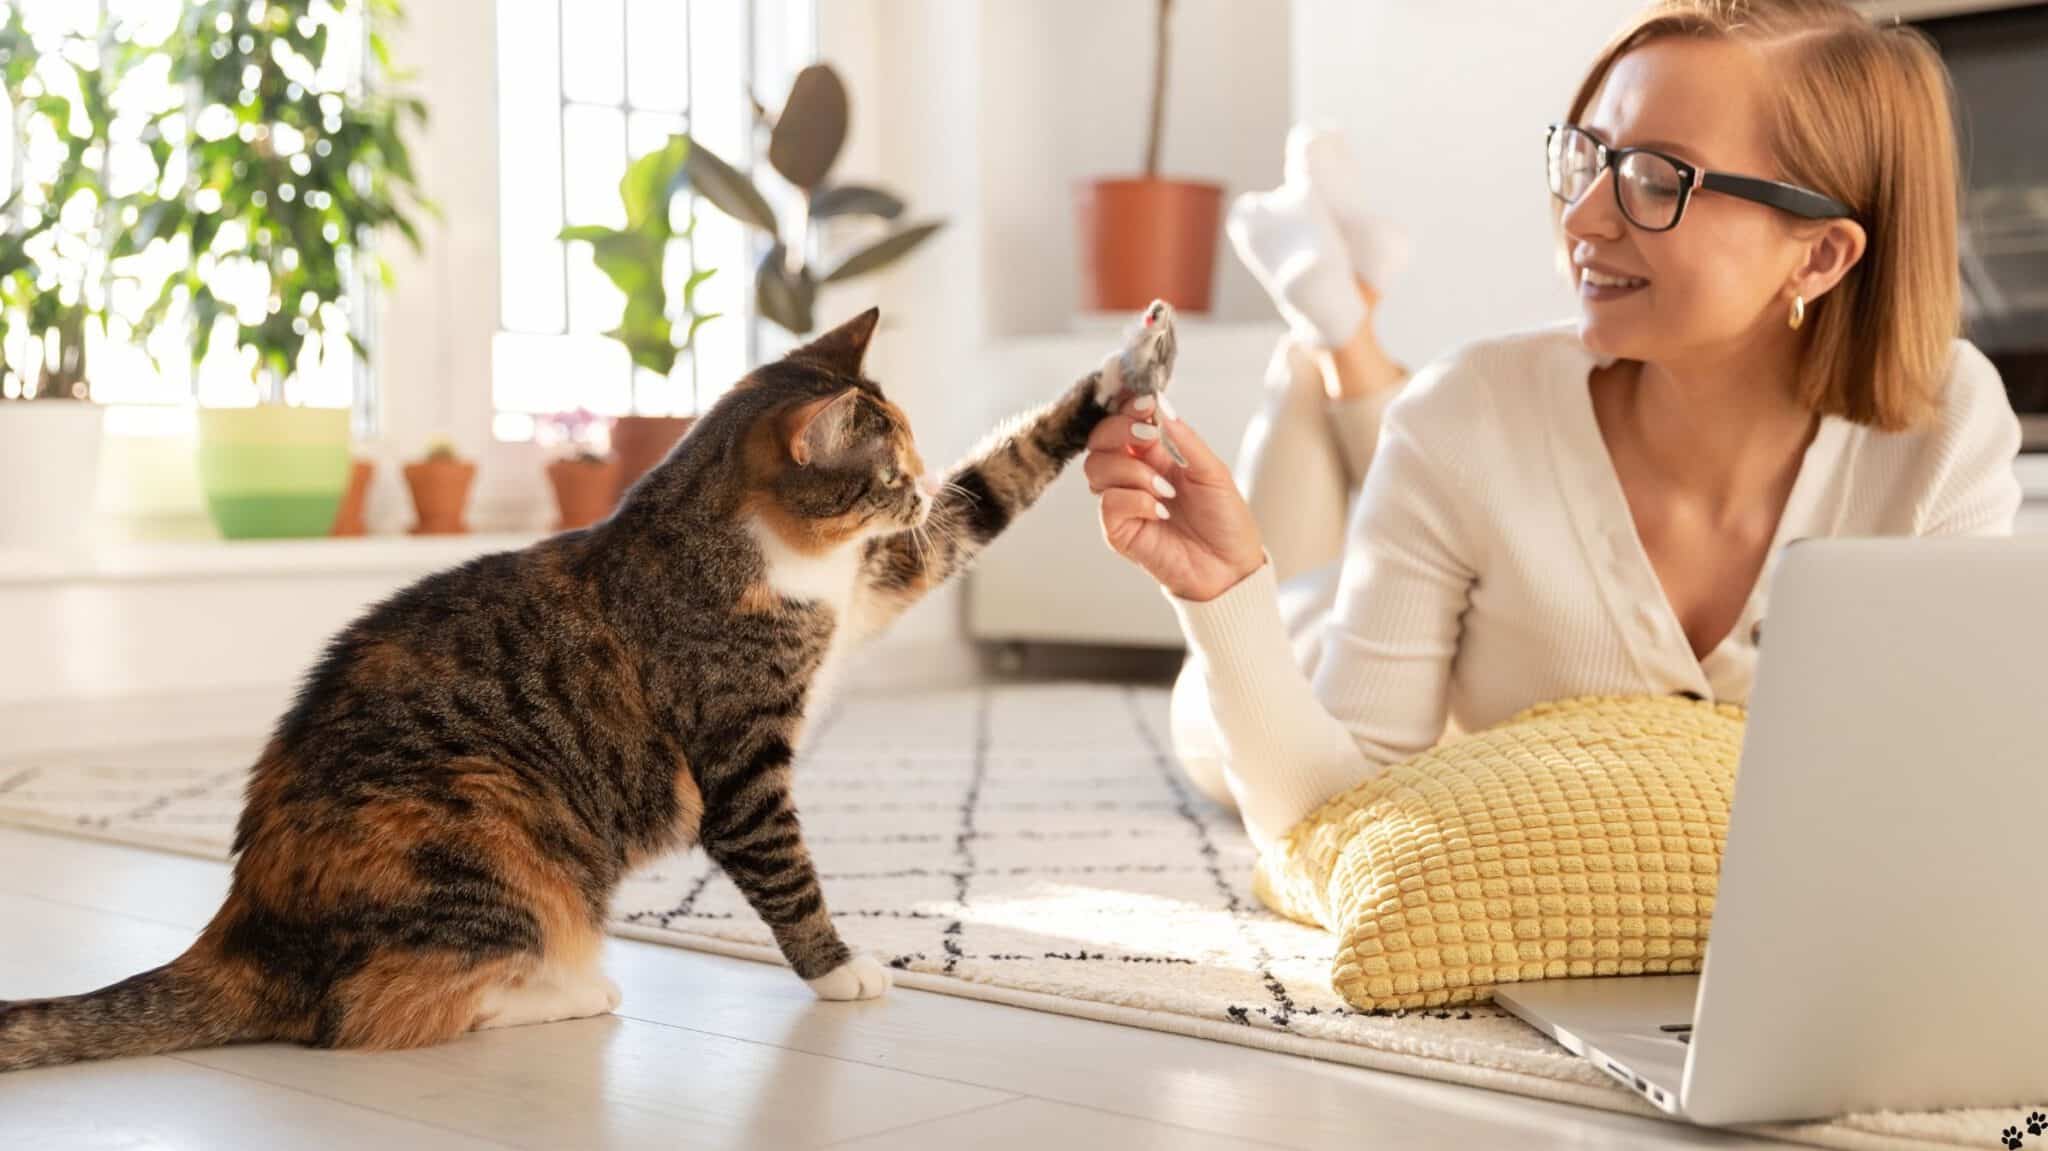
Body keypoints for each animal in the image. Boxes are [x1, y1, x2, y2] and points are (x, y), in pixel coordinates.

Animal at [0, 305, 1155, 1064]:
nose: (910, 488)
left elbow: (993, 490)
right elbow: (788, 875)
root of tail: (242, 925)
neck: (772, 557)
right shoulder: (740, 759)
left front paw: (1127, 370)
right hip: (484, 822)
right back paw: (565, 990)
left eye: (915, 463)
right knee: (360, 1018)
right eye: (885, 469)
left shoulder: (879, 578)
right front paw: (841, 968)